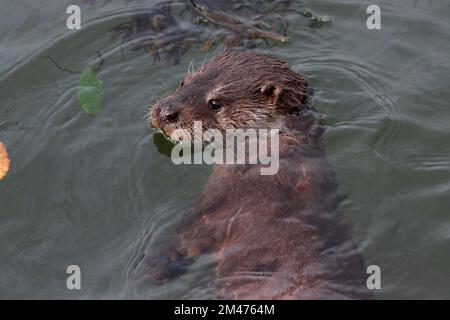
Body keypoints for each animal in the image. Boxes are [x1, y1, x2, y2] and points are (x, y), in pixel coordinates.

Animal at [146, 50, 370, 300]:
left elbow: (189, 234)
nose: (165, 112)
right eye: (184, 82)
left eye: (215, 103)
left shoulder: (219, 200)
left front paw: (157, 266)